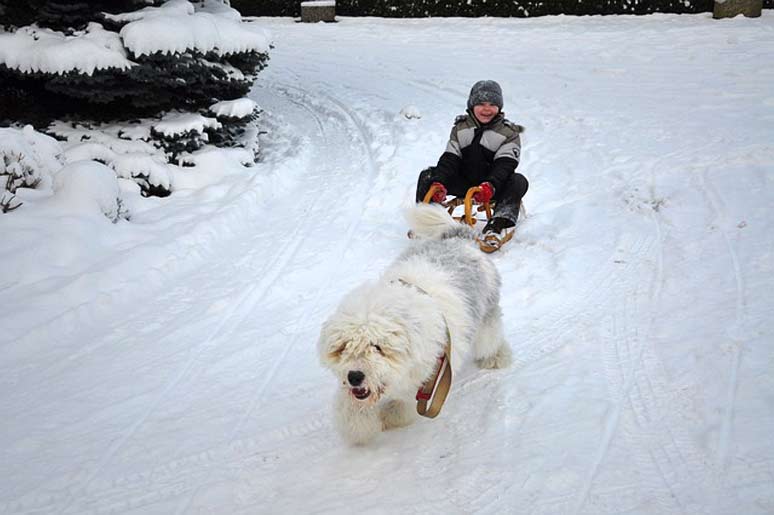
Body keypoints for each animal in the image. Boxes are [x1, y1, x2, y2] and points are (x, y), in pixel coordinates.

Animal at [318, 204, 512, 446]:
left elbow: (403, 404)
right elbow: (352, 409)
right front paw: (359, 428)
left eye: (377, 347)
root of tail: (459, 239)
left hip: (486, 317)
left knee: (490, 340)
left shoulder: (429, 376)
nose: (355, 376)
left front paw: (391, 417)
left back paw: (496, 358)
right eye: (344, 347)